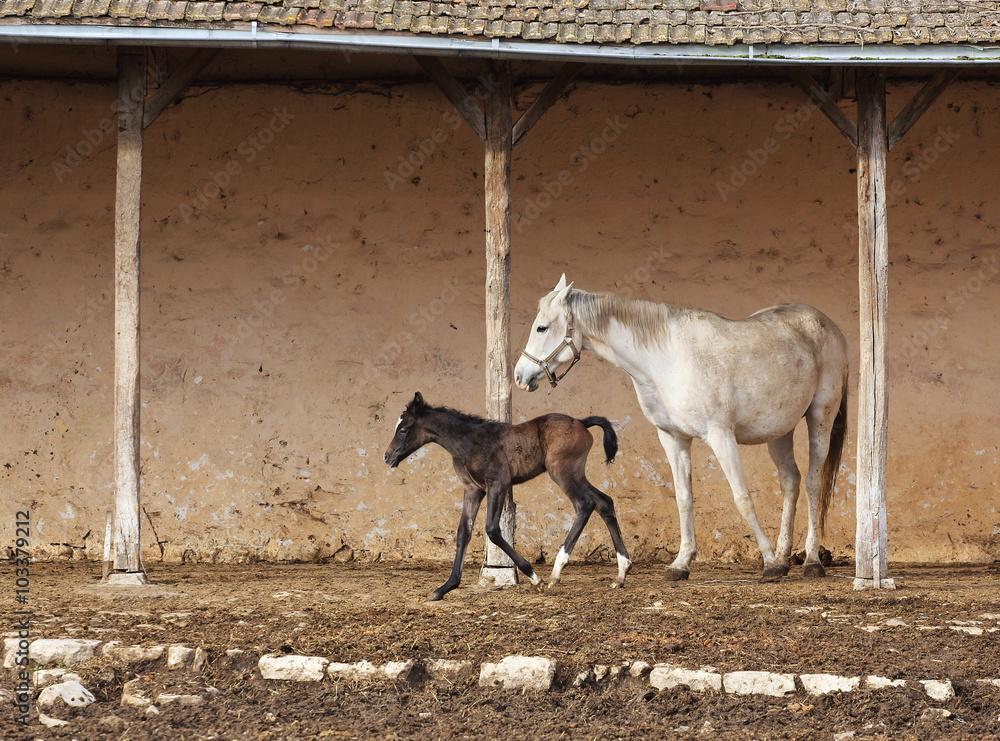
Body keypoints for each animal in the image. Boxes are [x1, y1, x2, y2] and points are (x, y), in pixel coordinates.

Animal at [383, 392, 633, 600]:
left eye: (403, 429)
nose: (387, 457)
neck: (469, 442)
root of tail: (581, 422)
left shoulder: (498, 483)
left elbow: (492, 530)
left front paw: (534, 577)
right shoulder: (473, 490)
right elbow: (463, 532)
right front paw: (445, 587)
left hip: (562, 471)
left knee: (585, 504)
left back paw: (555, 573)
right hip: (576, 473)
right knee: (604, 502)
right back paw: (621, 573)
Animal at [514, 275, 849, 581]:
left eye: (542, 327)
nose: (519, 376)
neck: (667, 361)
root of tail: (827, 324)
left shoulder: (720, 436)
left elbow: (742, 498)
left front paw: (768, 564)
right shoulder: (673, 438)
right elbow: (684, 498)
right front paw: (681, 563)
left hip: (820, 416)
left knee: (813, 483)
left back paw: (811, 562)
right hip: (779, 431)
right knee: (791, 481)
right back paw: (784, 556)